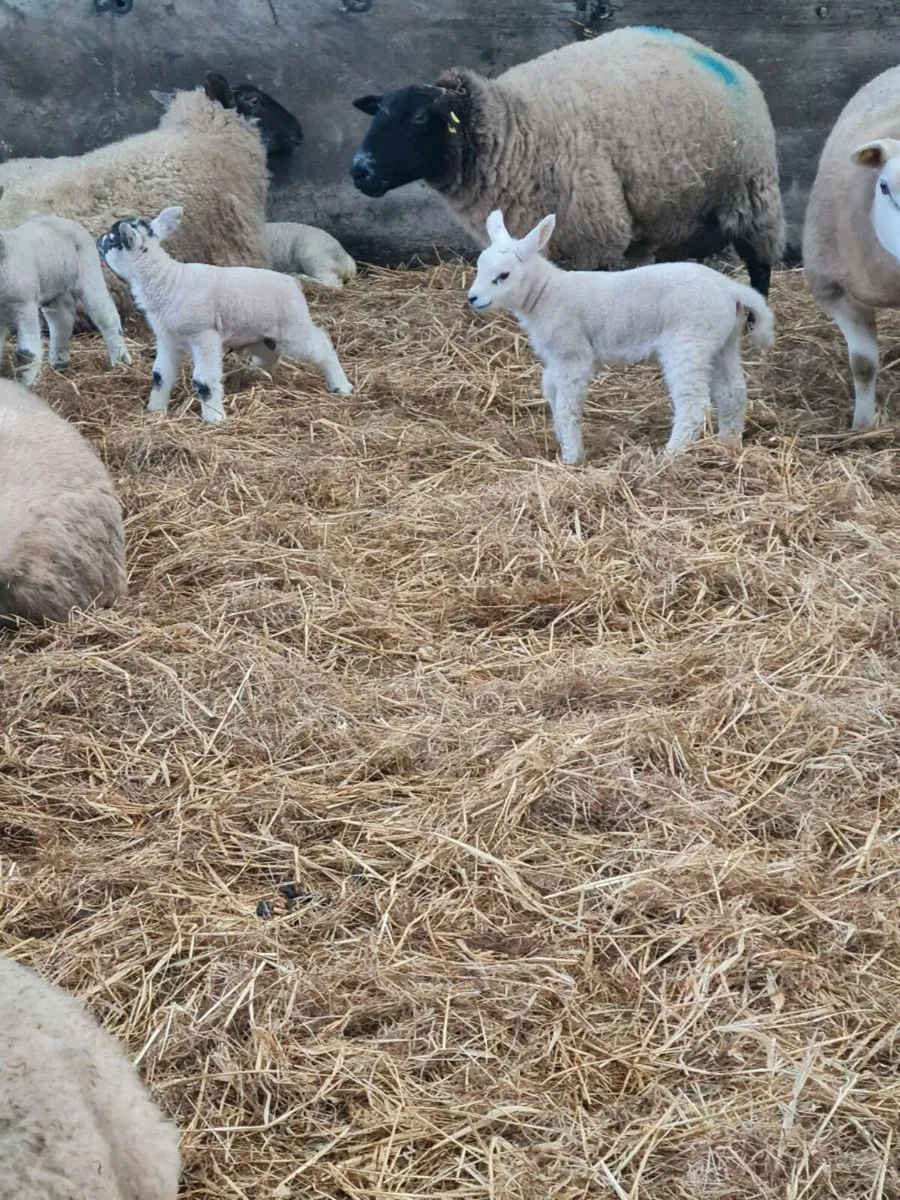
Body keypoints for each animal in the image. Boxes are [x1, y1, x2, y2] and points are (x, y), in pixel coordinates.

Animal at [0, 199, 130, 386]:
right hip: (55, 286)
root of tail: (64, 220)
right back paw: (60, 362)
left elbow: (26, 354)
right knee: (63, 320)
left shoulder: (24, 304)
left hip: (88, 271)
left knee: (106, 316)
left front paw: (27, 386)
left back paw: (121, 361)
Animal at [97, 207, 353, 425]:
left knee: (321, 346)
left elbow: (204, 379)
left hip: (294, 327)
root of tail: (292, 283)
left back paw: (341, 386)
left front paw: (214, 418)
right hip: (261, 335)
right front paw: (155, 410)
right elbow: (160, 375)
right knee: (272, 353)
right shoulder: (168, 339)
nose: (98, 240)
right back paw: (260, 376)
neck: (165, 279)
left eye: (111, 240)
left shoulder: (204, 336)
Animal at [351, 24, 784, 297]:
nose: (359, 170)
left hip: (750, 190)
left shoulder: (594, 231)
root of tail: (719, 57)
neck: (514, 129)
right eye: (378, 113)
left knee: (759, 263)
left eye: (419, 117)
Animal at [466, 209, 775, 464]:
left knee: (693, 402)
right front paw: (561, 442)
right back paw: (728, 445)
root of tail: (730, 288)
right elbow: (550, 391)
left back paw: (670, 455)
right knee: (733, 392)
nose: (473, 298)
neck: (545, 294)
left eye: (503, 275)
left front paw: (572, 457)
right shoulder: (556, 358)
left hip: (689, 340)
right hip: (723, 341)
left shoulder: (572, 353)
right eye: (480, 267)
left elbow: (566, 405)